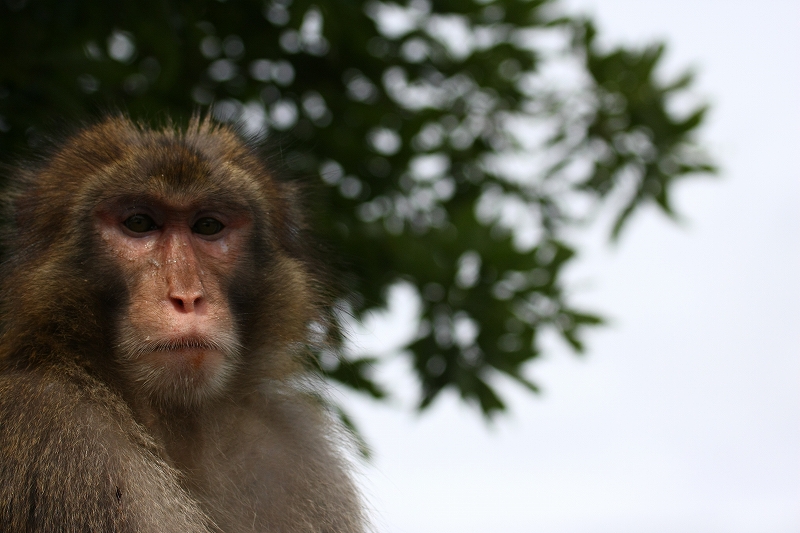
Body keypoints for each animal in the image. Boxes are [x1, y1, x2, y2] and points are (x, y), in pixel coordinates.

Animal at [0, 116, 368, 532]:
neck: (179, 428)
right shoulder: (59, 433)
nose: (187, 296)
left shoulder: (293, 454)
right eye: (139, 223)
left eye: (207, 226)